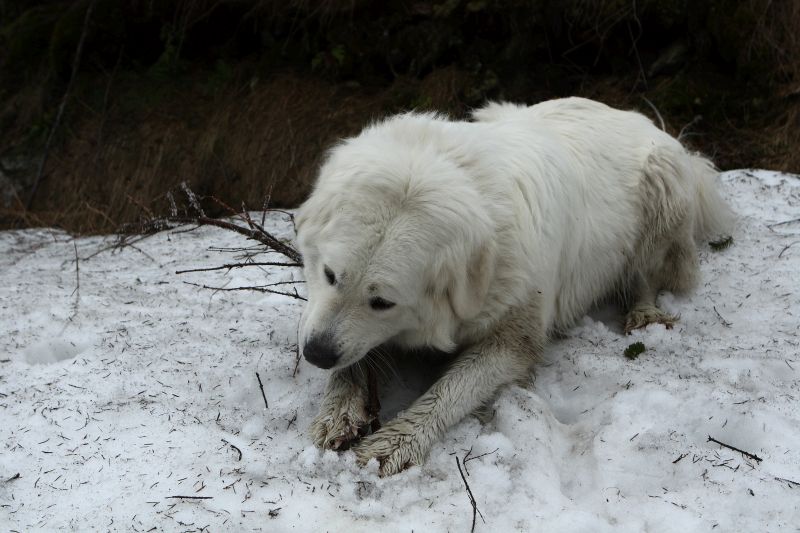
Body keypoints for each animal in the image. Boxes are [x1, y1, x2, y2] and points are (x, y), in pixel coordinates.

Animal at [292, 97, 732, 476]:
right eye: (330, 275)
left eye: (383, 301)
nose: (315, 354)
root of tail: (641, 119)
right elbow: (353, 359)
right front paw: (340, 410)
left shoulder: (514, 338)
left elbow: (451, 390)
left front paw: (394, 443)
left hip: (663, 194)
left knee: (648, 274)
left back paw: (644, 313)